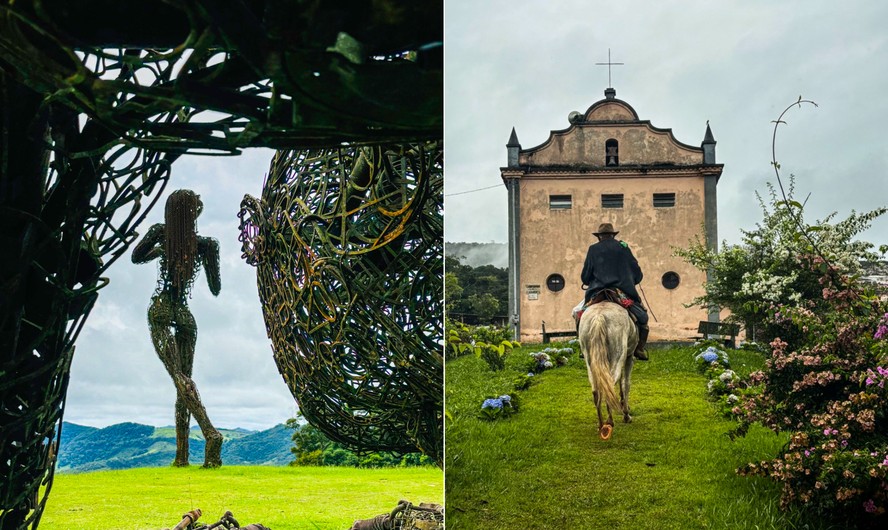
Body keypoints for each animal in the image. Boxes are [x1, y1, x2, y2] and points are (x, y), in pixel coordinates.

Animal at [576, 300, 640, 440]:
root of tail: (599, 317)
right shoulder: (629, 356)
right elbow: (626, 384)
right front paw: (626, 413)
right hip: (618, 355)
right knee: (609, 384)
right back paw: (611, 421)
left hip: (590, 360)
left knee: (596, 390)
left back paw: (601, 424)